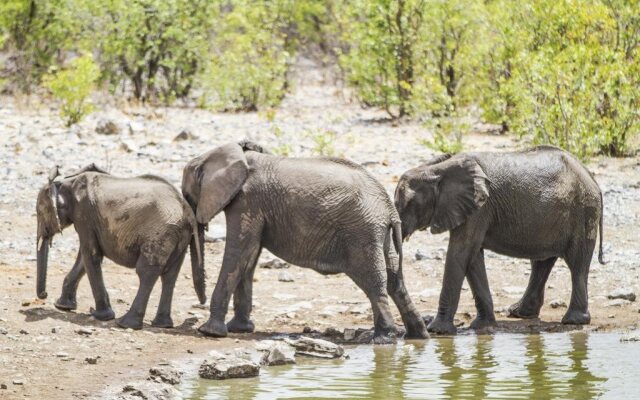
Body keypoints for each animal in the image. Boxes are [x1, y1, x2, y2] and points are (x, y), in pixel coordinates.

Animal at [35, 164, 205, 330]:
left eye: (39, 213)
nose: (44, 294)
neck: (66, 183)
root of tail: (188, 212)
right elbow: (85, 256)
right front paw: (63, 306)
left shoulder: (84, 213)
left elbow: (90, 254)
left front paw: (102, 316)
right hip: (179, 236)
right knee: (170, 275)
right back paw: (162, 325)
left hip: (161, 233)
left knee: (146, 272)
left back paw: (125, 323)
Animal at [182, 141, 428, 344]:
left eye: (186, 195)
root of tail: (389, 208)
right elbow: (248, 258)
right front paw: (239, 329)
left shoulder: (247, 201)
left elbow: (238, 253)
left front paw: (209, 332)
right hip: (379, 235)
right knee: (395, 281)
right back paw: (417, 335)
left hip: (362, 232)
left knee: (374, 281)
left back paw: (383, 340)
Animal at [396, 146, 604, 334]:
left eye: (408, 204)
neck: (437, 170)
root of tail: (591, 176)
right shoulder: (473, 208)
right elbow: (472, 257)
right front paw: (483, 326)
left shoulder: (479, 207)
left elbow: (460, 252)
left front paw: (438, 331)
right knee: (542, 263)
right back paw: (519, 313)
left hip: (583, 211)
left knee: (577, 264)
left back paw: (573, 321)